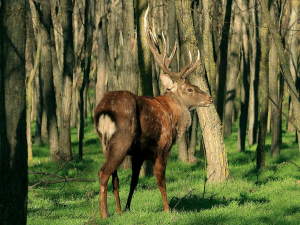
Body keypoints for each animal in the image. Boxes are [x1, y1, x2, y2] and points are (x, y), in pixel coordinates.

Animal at [94, 6, 213, 218]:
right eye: (190, 89)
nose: (210, 98)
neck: (173, 117)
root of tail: (104, 111)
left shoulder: (139, 153)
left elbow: (134, 181)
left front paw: (127, 208)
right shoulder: (162, 145)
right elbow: (160, 179)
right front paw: (167, 209)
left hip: (104, 142)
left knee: (114, 176)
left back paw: (118, 211)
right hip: (122, 138)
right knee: (103, 172)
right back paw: (104, 215)